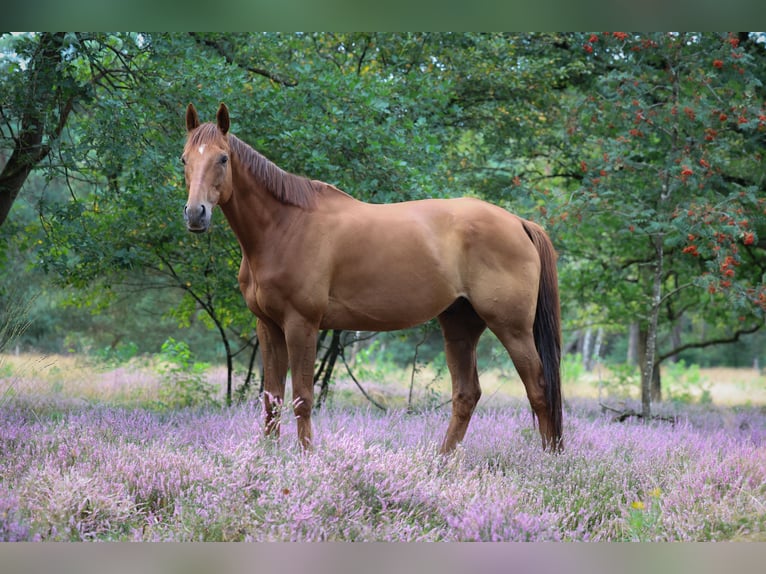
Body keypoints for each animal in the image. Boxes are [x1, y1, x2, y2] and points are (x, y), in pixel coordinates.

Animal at [181, 103, 564, 454]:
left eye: (223, 159)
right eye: (184, 160)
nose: (196, 214)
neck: (284, 227)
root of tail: (519, 223)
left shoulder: (301, 324)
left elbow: (302, 397)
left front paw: (305, 459)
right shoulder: (269, 327)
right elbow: (271, 398)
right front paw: (270, 458)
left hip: (512, 328)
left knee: (539, 388)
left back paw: (547, 462)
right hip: (460, 324)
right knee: (467, 395)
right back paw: (442, 462)